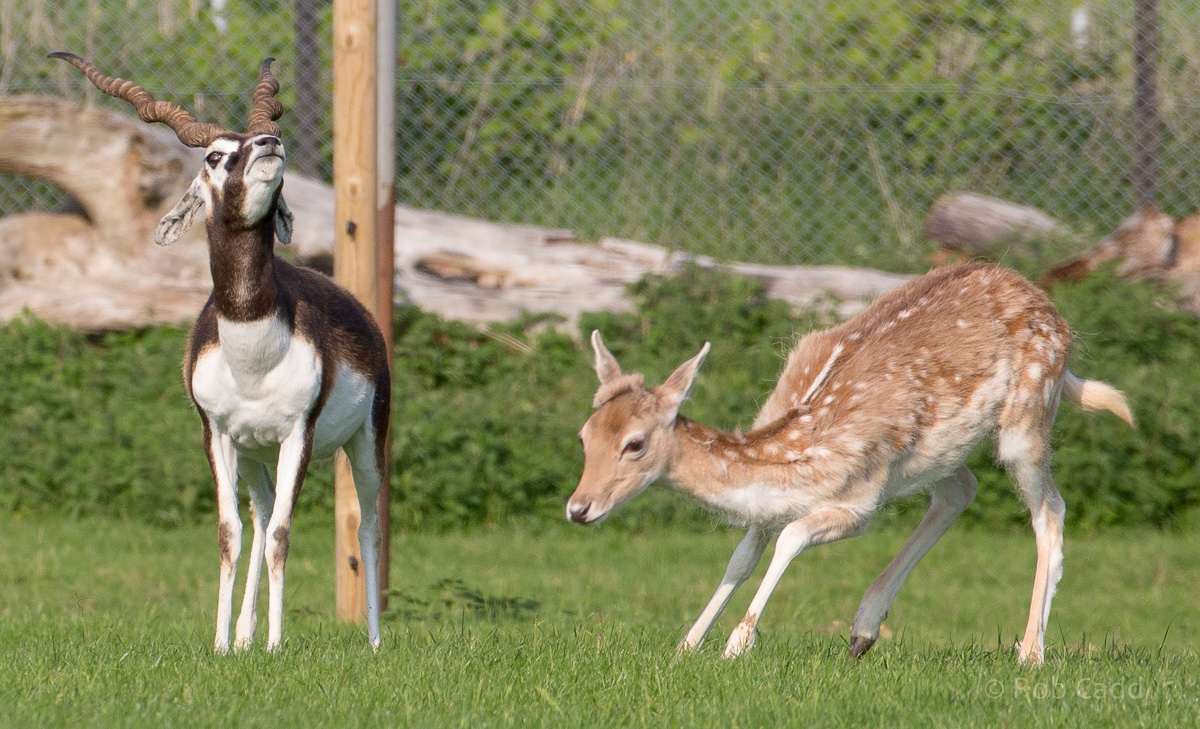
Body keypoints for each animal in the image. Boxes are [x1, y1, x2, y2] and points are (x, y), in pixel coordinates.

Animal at [51, 53, 391, 652]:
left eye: (265, 136)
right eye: (215, 155)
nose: (269, 144)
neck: (254, 355)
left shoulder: (299, 434)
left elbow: (282, 534)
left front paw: (277, 645)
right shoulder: (218, 434)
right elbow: (231, 533)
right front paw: (223, 644)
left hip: (366, 439)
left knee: (365, 524)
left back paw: (372, 640)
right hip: (256, 453)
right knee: (260, 512)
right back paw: (244, 635)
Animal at [567, 262, 1133, 664]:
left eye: (634, 444)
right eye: (584, 436)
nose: (578, 508)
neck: (797, 451)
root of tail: (1051, 307)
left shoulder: (861, 499)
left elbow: (792, 535)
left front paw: (737, 644)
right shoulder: (778, 504)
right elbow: (742, 556)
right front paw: (688, 643)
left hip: (1028, 415)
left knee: (1050, 509)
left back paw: (1030, 652)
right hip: (937, 455)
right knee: (961, 490)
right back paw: (863, 631)